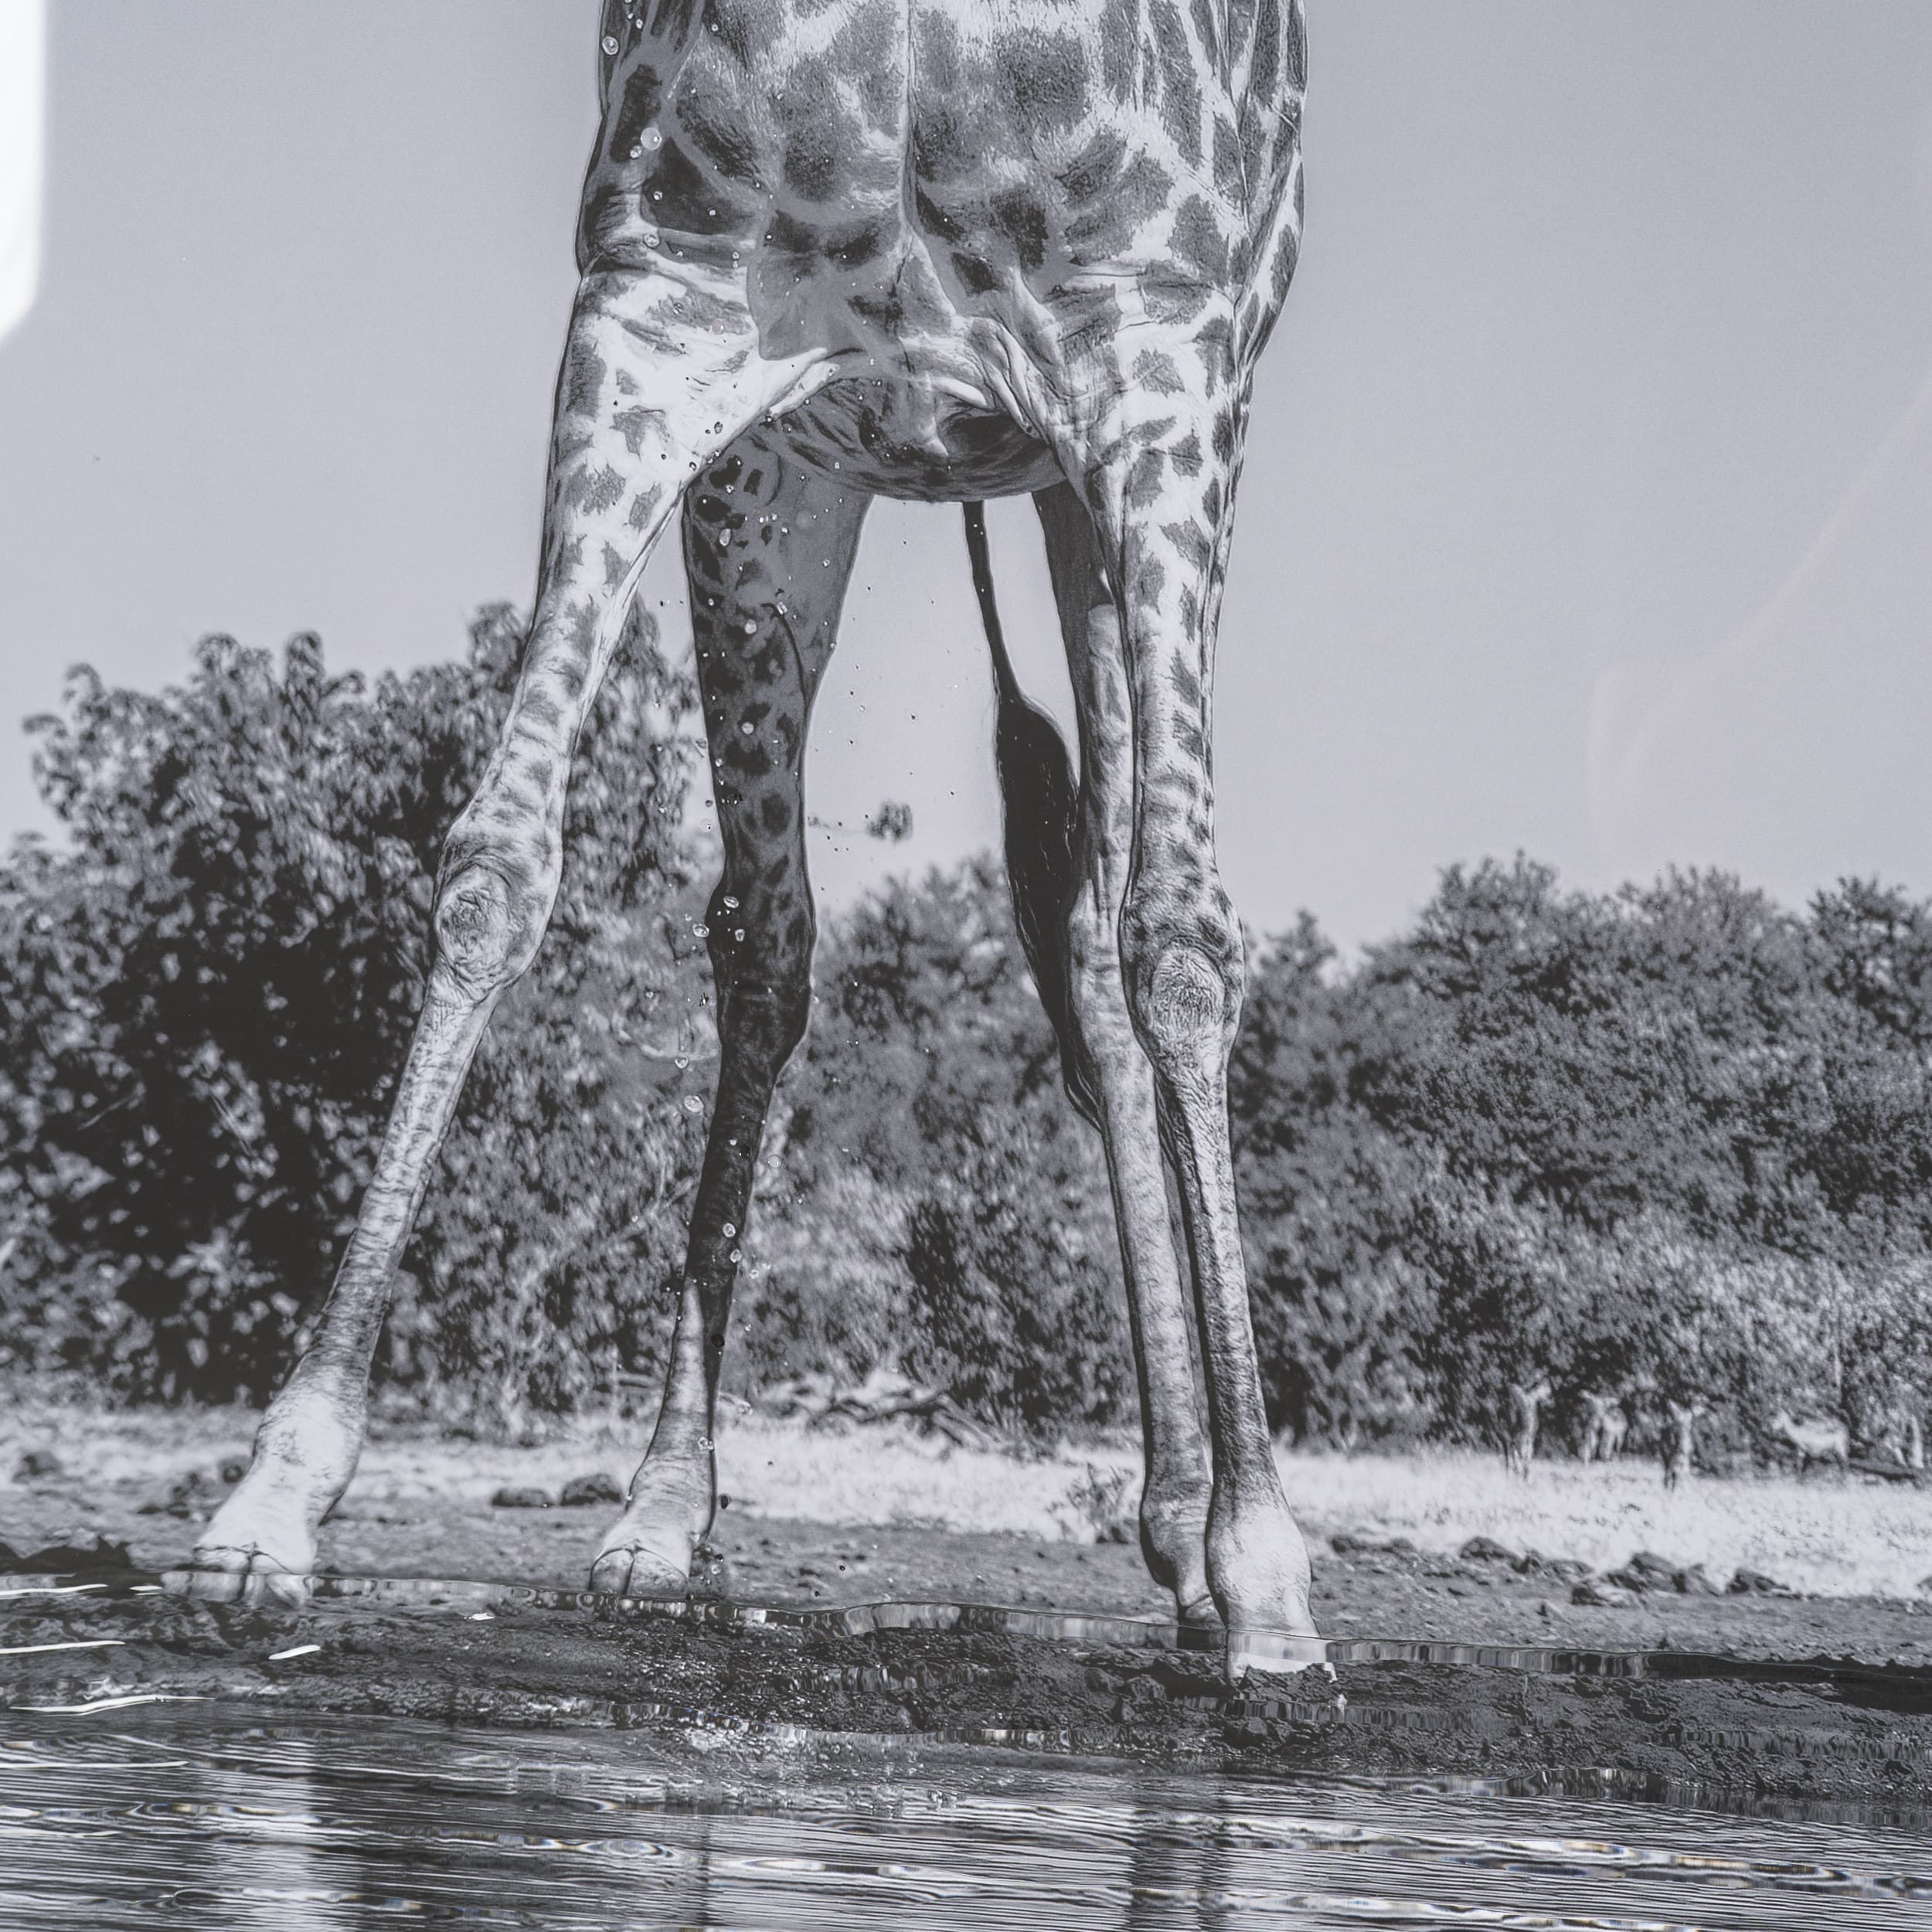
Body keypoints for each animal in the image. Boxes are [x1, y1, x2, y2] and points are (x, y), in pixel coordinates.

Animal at [190, 0, 1315, 1668]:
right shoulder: (662, 322)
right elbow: (501, 864)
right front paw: (273, 1497)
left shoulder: (1156, 375)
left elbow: (1178, 940)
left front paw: (1265, 1573)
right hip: (802, 479)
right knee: (782, 943)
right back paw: (665, 1508)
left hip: (1090, 488)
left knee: (1112, 945)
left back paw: (1190, 1533)